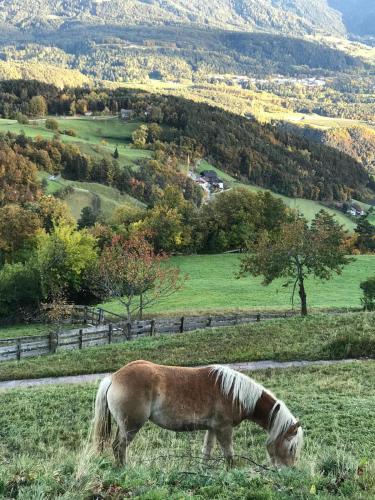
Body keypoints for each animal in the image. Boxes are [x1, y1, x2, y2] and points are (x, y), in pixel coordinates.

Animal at [92, 362, 304, 466]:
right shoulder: (224, 429)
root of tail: (114, 377)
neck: (235, 393)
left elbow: (206, 452)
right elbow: (229, 455)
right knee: (119, 447)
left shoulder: (212, 428)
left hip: (125, 426)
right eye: (291, 447)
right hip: (131, 426)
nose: (289, 471)